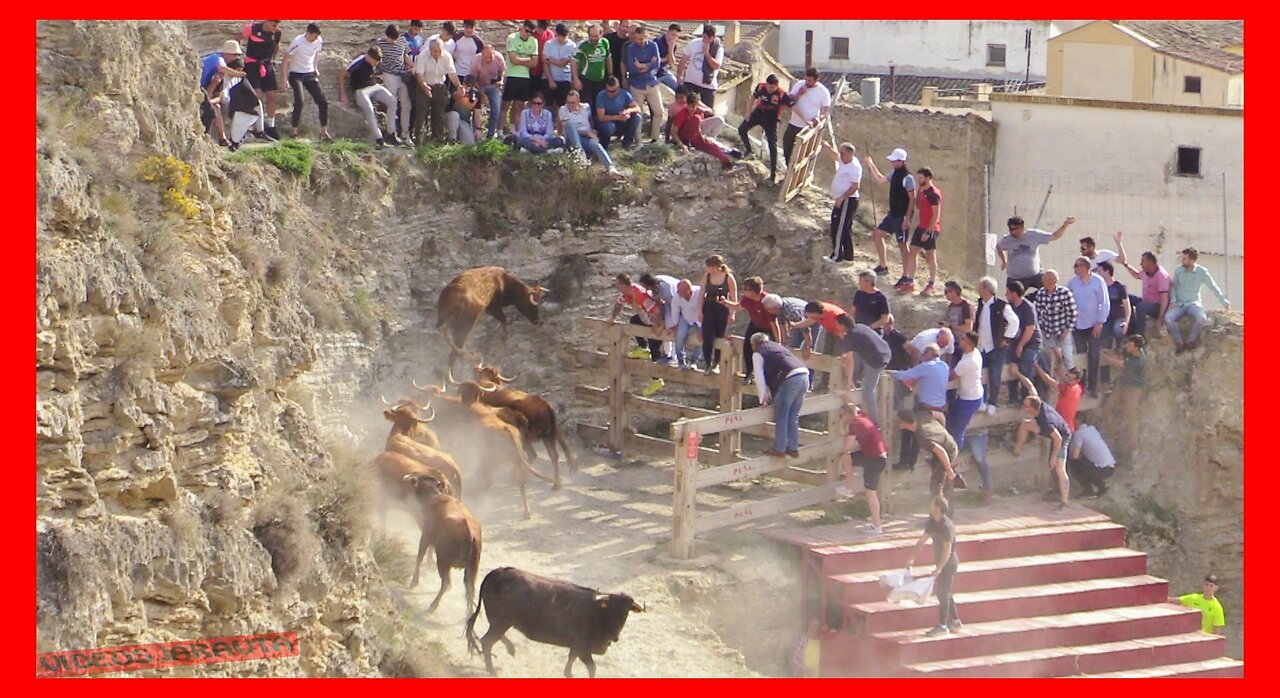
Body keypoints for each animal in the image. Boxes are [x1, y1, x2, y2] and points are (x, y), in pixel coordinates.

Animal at [465, 566, 645, 676]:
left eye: (626, 613)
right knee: (487, 641)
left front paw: (568, 674)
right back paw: (492, 670)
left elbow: (571, 659)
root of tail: (497, 572)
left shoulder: (576, 647)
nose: (615, 637)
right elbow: (592, 668)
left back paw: (510, 650)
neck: (596, 613)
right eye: (612, 609)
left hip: (501, 623)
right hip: (500, 622)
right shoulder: (583, 648)